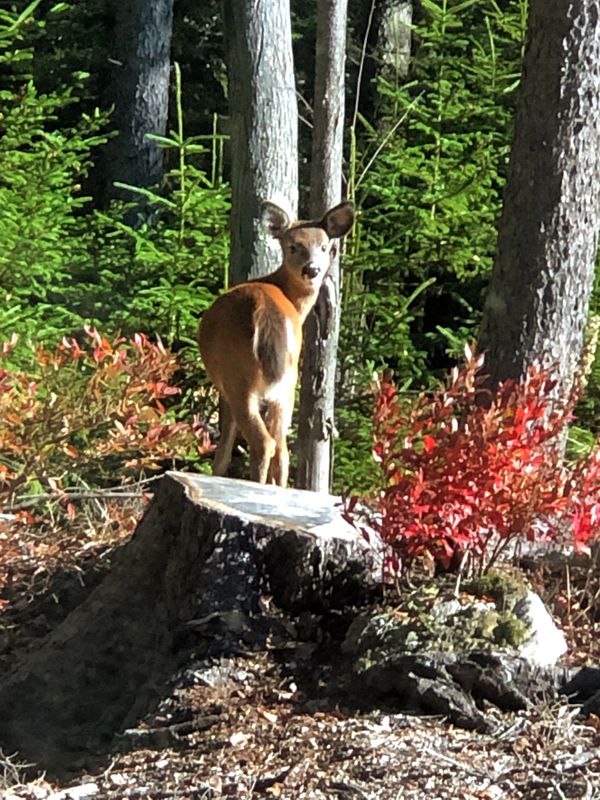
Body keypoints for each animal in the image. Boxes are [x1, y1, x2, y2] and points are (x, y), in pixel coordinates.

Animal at [199, 200, 354, 488]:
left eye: (324, 246)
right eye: (293, 246)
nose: (312, 269)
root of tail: (265, 312)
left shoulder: (223, 387)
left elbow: (224, 446)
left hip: (239, 378)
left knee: (264, 443)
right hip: (288, 383)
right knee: (282, 449)